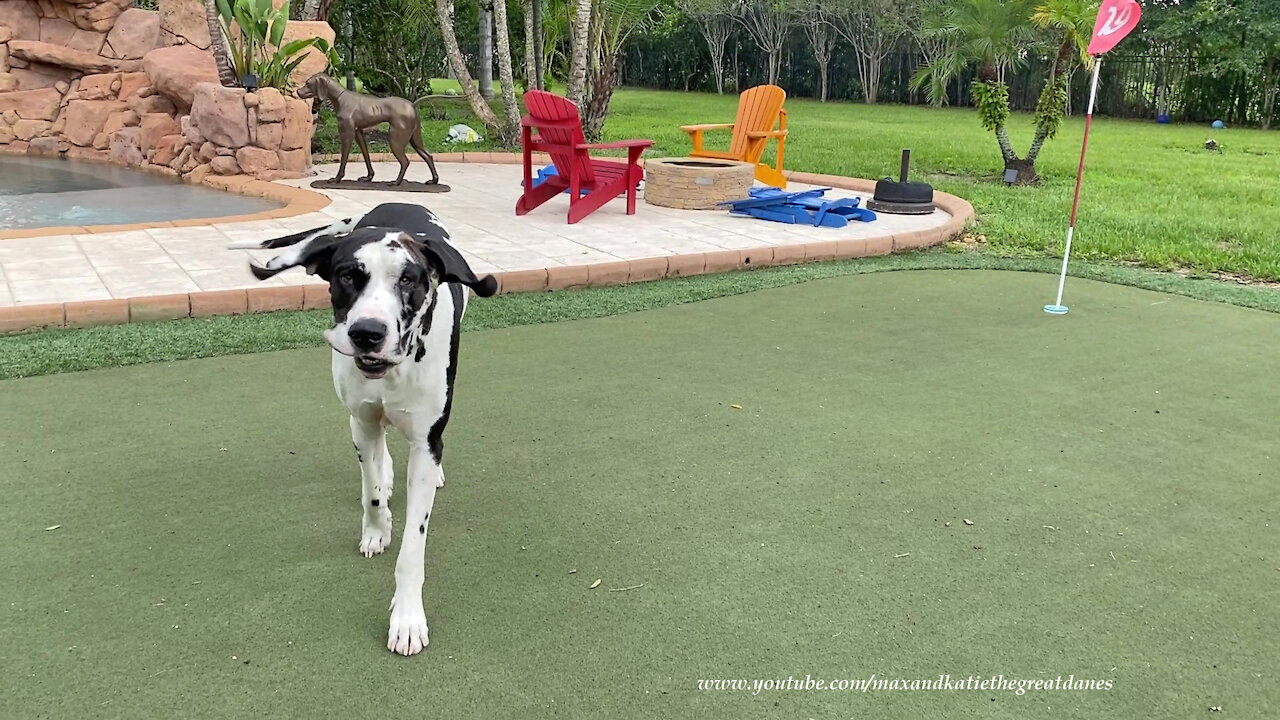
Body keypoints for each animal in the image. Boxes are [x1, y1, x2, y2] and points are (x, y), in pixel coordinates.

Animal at [230, 203, 494, 655]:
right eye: (348, 276)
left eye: (407, 279)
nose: (367, 333)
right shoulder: (361, 422)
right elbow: (370, 492)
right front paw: (377, 527)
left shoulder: (425, 442)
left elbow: (413, 549)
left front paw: (407, 618)